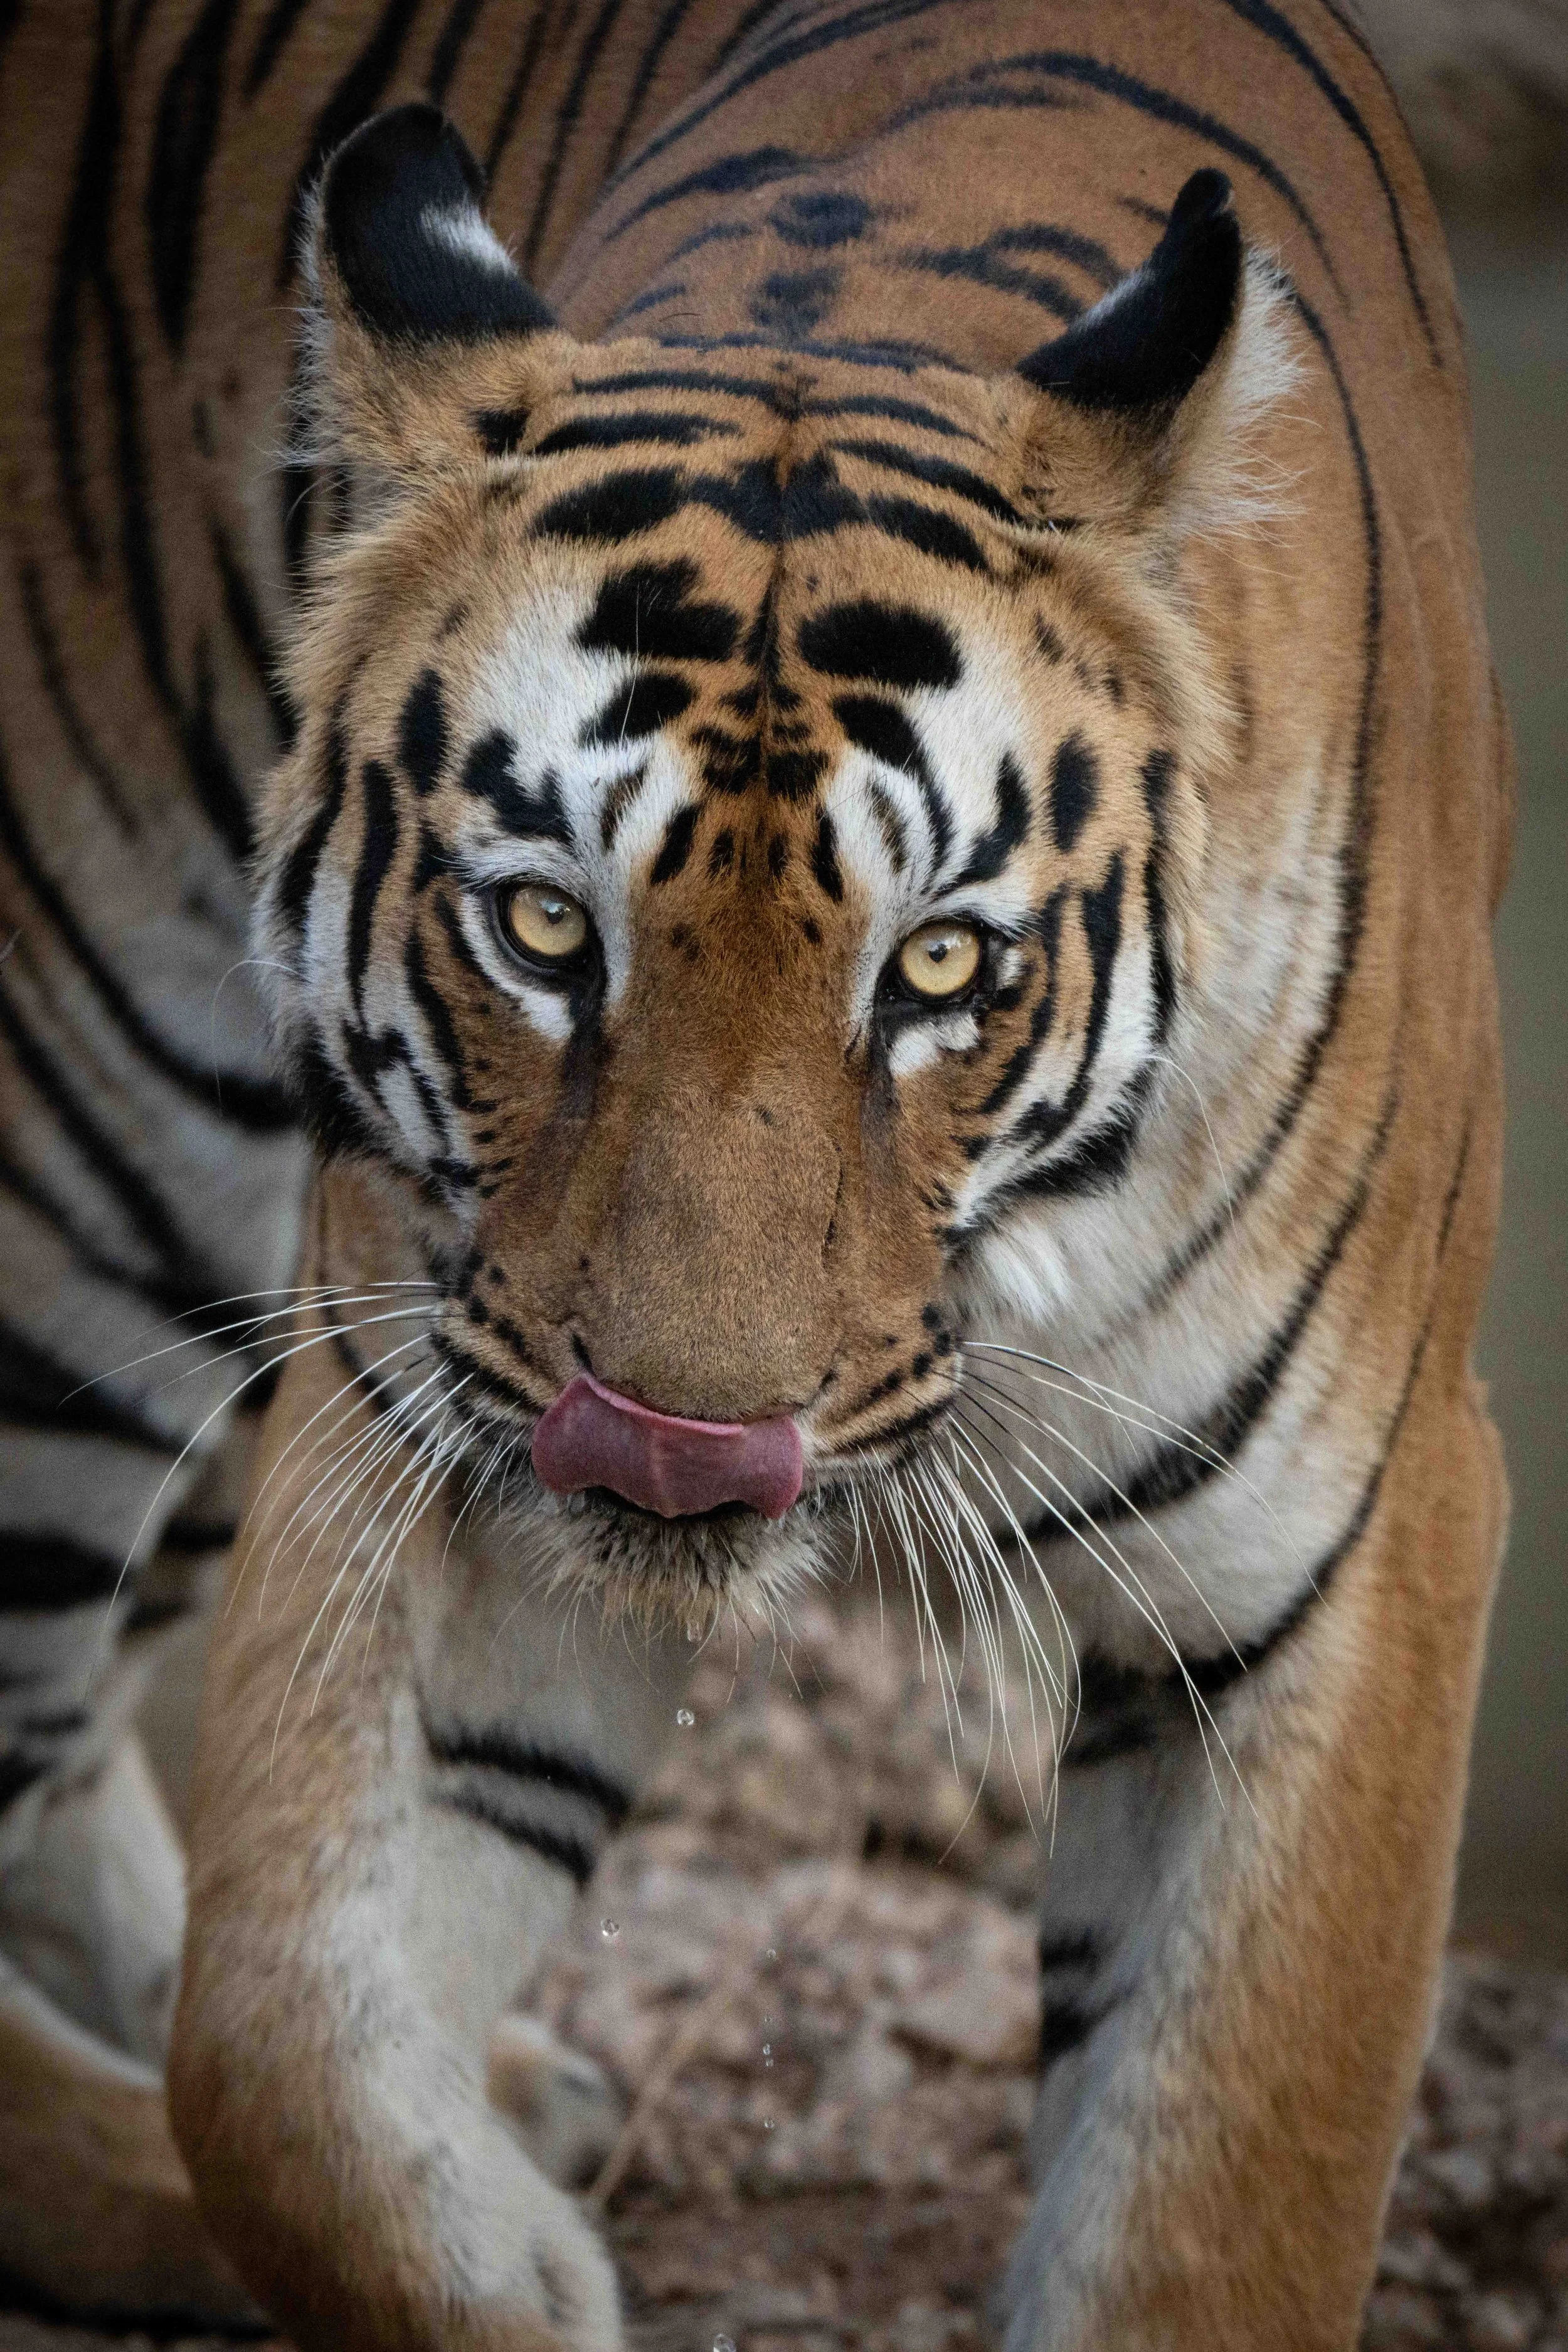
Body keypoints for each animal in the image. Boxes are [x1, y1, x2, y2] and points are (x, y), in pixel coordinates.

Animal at [0, 0, 1512, 2346]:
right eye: (544, 926)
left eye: (942, 967)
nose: (681, 1447)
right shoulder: (432, 1436)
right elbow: (282, 2057)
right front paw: (517, 2267)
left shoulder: (1345, 1558)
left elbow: (1215, 2205)